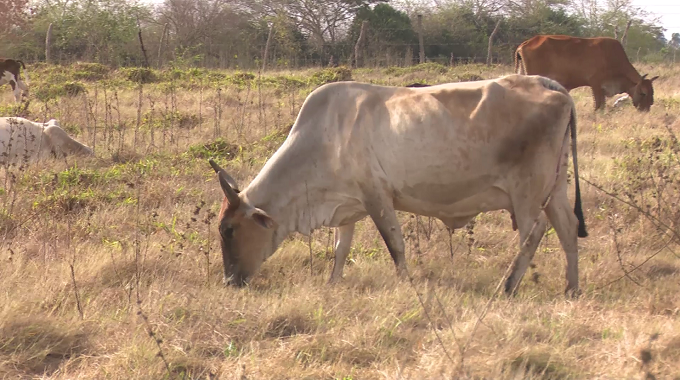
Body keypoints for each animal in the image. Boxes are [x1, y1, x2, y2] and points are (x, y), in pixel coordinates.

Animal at [210, 72, 588, 296]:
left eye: (228, 230)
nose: (229, 281)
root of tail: (549, 85)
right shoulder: (348, 205)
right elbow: (340, 249)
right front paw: (333, 283)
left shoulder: (377, 196)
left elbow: (395, 245)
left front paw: (406, 285)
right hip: (556, 187)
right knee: (567, 228)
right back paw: (571, 289)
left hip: (527, 192)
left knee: (533, 234)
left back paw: (507, 287)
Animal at [516, 34, 660, 112]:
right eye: (643, 93)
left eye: (652, 92)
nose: (646, 110)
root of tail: (525, 43)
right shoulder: (596, 84)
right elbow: (598, 106)